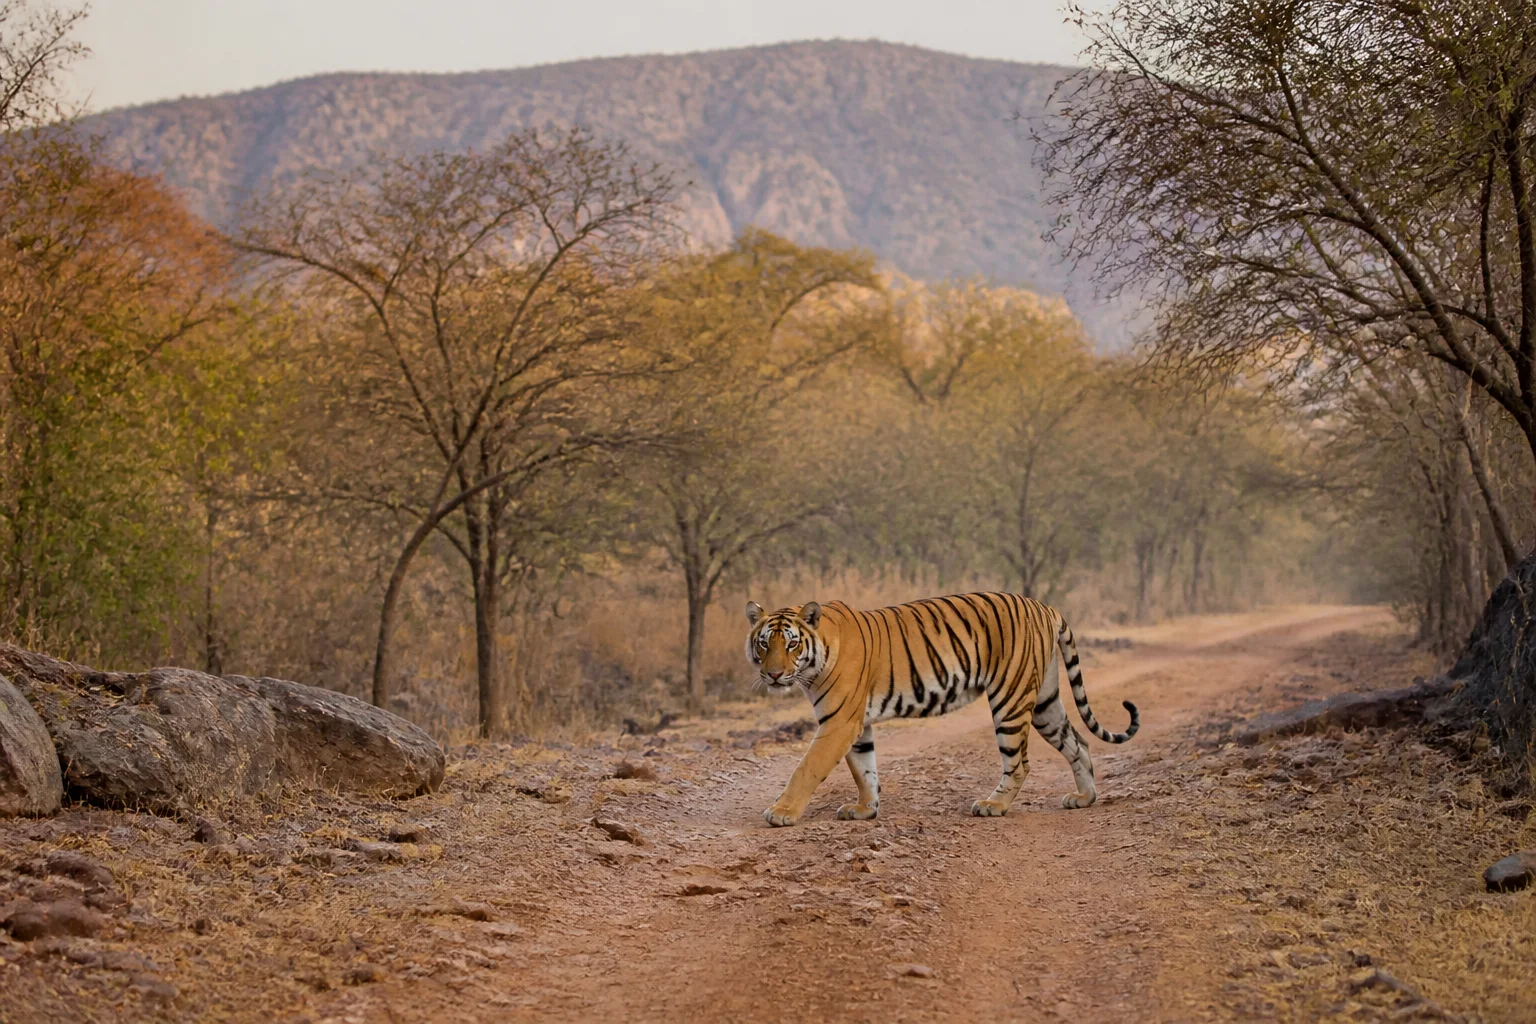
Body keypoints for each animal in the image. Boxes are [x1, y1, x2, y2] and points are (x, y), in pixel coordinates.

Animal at [744, 593, 1139, 827]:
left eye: (792, 644)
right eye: (764, 644)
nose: (773, 674)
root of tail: (1044, 606)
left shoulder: (838, 722)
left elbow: (806, 768)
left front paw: (781, 812)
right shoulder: (856, 724)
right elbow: (864, 769)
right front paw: (865, 809)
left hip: (1010, 698)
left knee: (1020, 762)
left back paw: (993, 805)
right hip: (1044, 700)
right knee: (1078, 743)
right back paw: (1084, 798)